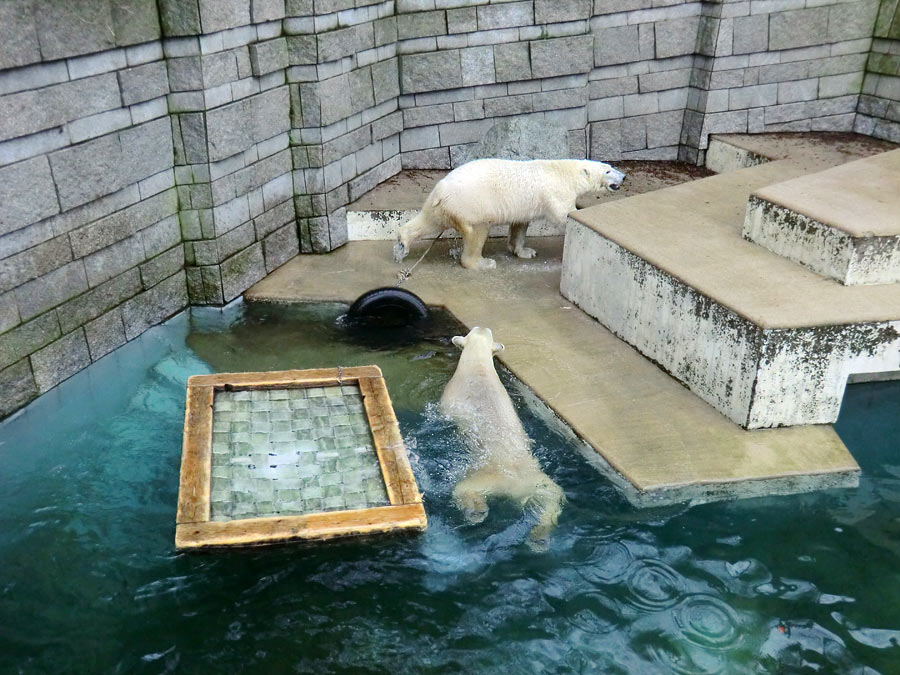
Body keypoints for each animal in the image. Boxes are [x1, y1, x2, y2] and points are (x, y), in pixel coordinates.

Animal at [394, 160, 624, 270]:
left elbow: (520, 225)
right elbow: (563, 215)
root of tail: (442, 190)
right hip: (472, 204)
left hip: (439, 206)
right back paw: (483, 263)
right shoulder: (556, 192)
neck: (565, 172)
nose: (623, 176)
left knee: (428, 221)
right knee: (477, 231)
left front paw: (525, 251)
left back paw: (402, 244)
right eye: (607, 171)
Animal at [442, 324, 568, 552]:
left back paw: (476, 512)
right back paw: (539, 537)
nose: (482, 325)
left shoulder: (449, 396)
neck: (478, 365)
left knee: (463, 488)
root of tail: (516, 485)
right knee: (552, 500)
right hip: (540, 481)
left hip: (487, 477)